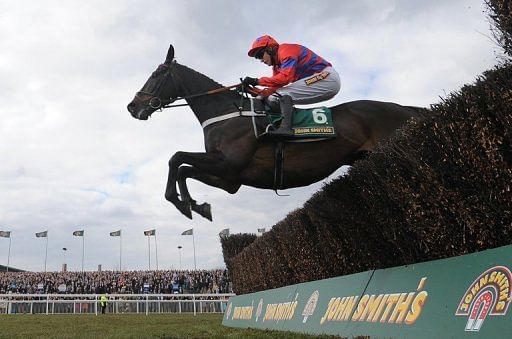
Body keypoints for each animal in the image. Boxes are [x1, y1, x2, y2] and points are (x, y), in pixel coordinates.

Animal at [128, 45, 424, 222]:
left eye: (157, 73)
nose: (132, 106)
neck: (229, 112)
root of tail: (405, 108)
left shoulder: (228, 164)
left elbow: (176, 158)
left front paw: (182, 203)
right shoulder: (229, 179)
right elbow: (183, 169)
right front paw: (196, 205)